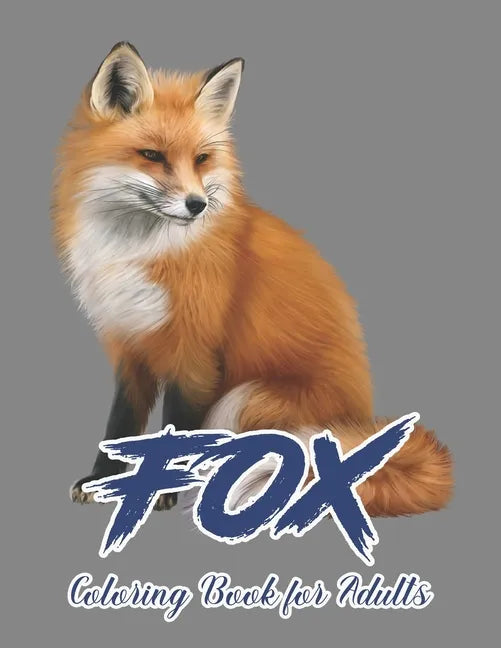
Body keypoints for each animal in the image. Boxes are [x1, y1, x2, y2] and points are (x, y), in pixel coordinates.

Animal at [52, 42, 453, 516]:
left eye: (201, 159)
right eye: (152, 156)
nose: (197, 205)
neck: (143, 251)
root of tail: (358, 419)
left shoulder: (196, 352)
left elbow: (180, 429)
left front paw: (164, 486)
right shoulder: (129, 344)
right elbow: (121, 422)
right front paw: (100, 479)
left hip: (242, 397)